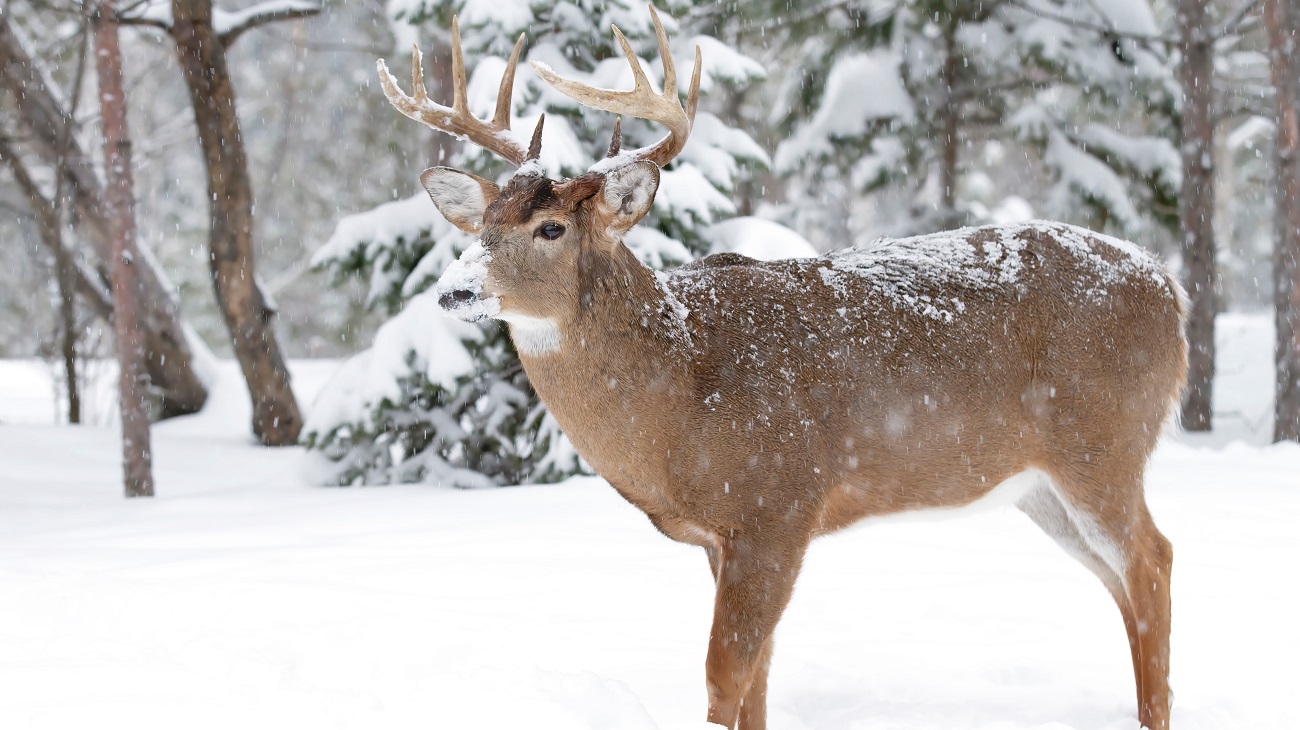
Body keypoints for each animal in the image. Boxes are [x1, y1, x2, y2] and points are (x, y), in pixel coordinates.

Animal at [377, 7, 1190, 727]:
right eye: (483, 226)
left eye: (549, 228)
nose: (455, 288)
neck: (679, 390)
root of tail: (1170, 288)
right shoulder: (723, 537)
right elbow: (758, 681)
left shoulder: (778, 503)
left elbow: (724, 675)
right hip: (1041, 486)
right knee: (1120, 580)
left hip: (1104, 443)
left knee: (1153, 559)